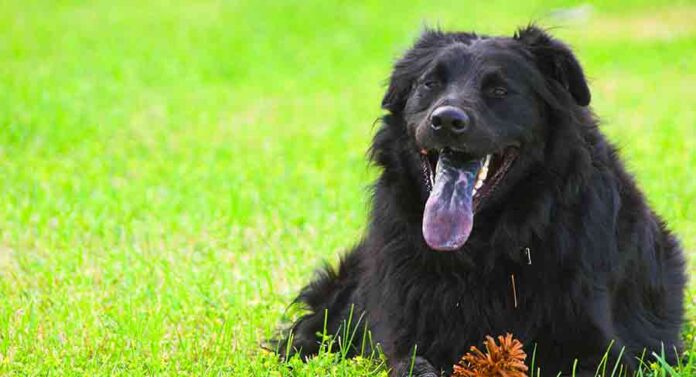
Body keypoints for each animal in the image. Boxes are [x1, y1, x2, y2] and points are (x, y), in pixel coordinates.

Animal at [274, 26, 684, 376]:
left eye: (499, 91)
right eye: (430, 84)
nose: (446, 121)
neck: (483, 247)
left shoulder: (599, 349)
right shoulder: (405, 335)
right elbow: (408, 362)